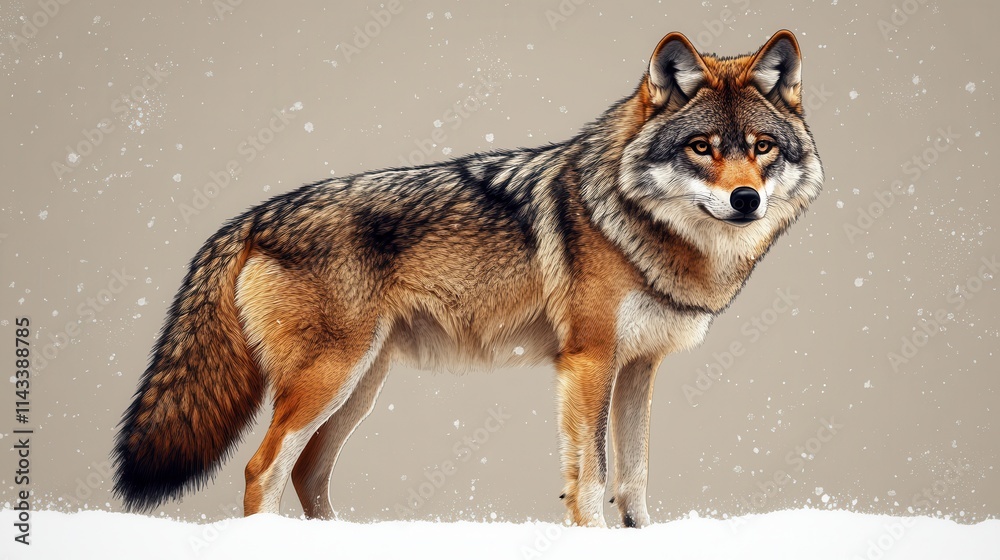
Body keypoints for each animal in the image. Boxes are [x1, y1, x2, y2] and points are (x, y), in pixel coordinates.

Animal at [113, 29, 823, 528]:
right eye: (702, 148)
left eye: (761, 147)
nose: (746, 200)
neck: (640, 227)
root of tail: (253, 215)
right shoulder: (589, 361)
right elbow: (591, 476)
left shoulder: (639, 368)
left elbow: (635, 477)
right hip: (330, 378)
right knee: (262, 467)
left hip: (359, 386)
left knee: (308, 471)